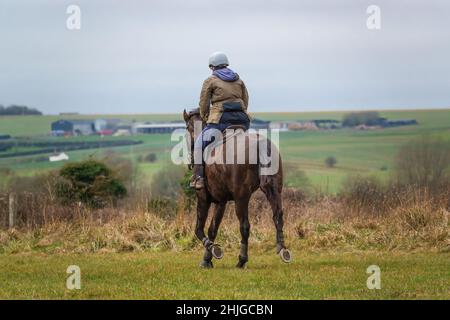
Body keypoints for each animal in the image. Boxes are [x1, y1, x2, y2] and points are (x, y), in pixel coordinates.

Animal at [183, 109, 292, 268]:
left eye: (188, 129)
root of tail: (260, 145)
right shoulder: (221, 202)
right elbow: (212, 229)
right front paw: (207, 259)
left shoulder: (203, 197)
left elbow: (199, 229)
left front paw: (213, 251)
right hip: (274, 190)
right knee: (277, 216)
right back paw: (282, 249)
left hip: (241, 197)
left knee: (244, 226)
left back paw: (242, 260)